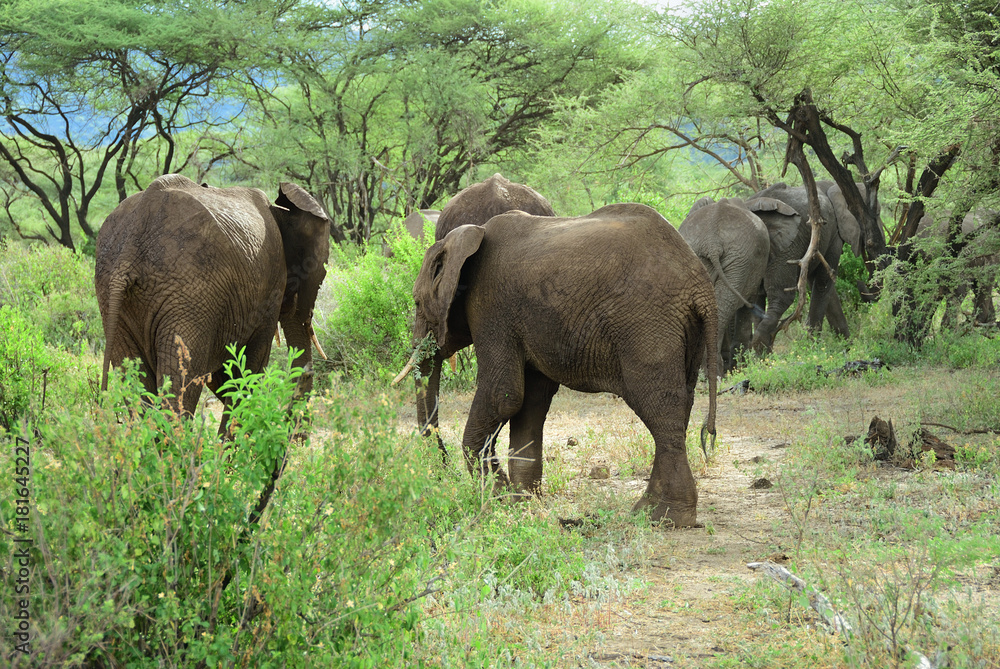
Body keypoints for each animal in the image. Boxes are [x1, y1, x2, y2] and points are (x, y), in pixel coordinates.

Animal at [95, 174, 331, 429]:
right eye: (319, 272)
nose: (296, 437)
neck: (281, 211)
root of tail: (131, 246)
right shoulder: (269, 287)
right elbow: (250, 366)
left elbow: (226, 376)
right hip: (189, 295)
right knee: (180, 382)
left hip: (113, 295)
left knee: (137, 382)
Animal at [396, 203, 718, 527]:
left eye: (416, 303)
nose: (442, 473)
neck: (469, 237)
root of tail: (701, 286)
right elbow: (530, 402)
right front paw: (523, 502)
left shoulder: (491, 308)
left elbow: (503, 395)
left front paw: (500, 500)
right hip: (684, 333)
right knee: (679, 408)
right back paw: (648, 511)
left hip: (646, 327)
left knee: (660, 409)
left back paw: (666, 518)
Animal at [743, 182, 860, 352]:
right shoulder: (832, 236)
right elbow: (824, 282)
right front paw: (815, 347)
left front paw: (845, 347)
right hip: (786, 246)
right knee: (781, 297)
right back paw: (763, 348)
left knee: (757, 298)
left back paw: (761, 354)